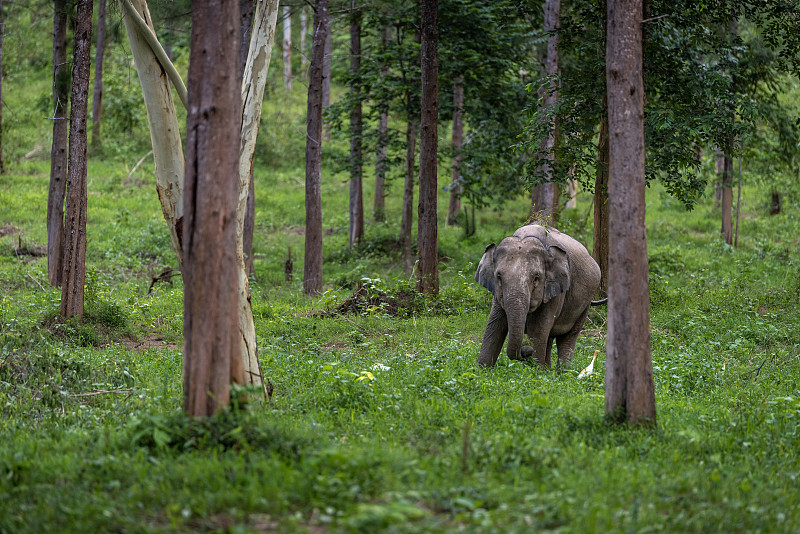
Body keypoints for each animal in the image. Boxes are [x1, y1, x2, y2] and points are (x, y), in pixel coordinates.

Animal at [472, 225, 604, 368]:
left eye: (536, 278)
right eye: (499, 277)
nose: (526, 351)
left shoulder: (554, 293)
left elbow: (538, 330)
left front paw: (536, 370)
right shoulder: (497, 294)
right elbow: (494, 325)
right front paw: (482, 369)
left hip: (586, 302)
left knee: (568, 336)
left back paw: (563, 370)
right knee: (550, 337)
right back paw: (548, 369)